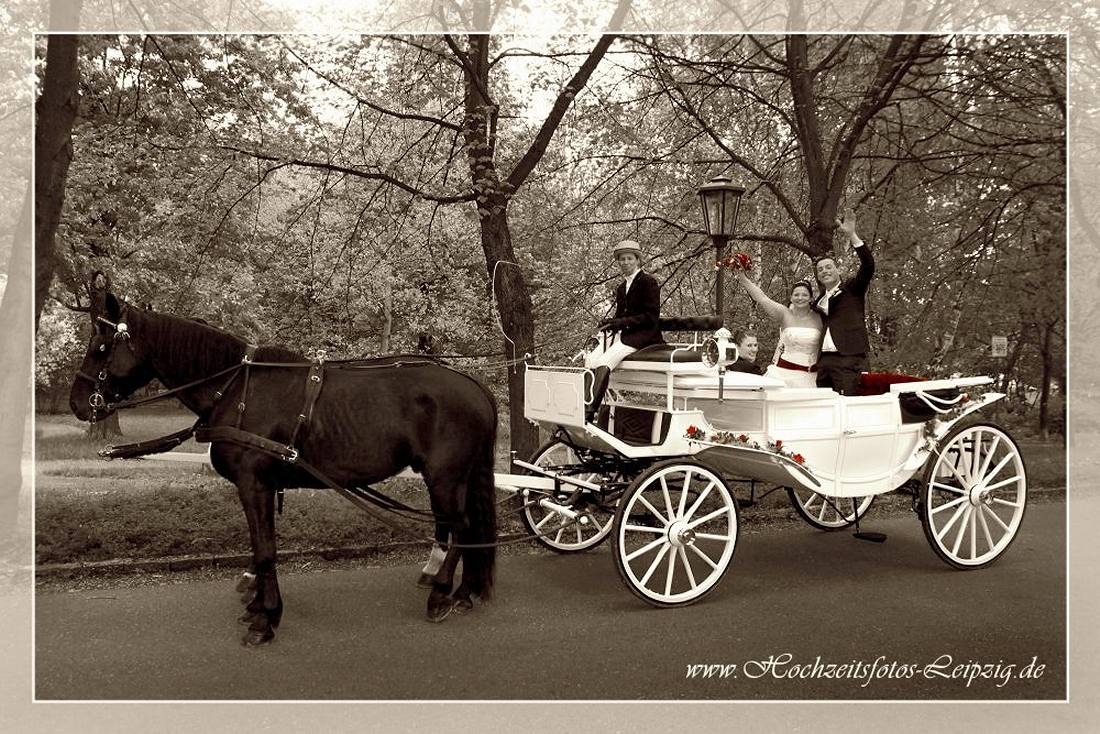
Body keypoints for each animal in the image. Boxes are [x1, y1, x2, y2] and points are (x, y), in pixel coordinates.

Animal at [68, 294, 499, 647]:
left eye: (101, 347)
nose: (77, 402)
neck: (236, 389)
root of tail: (474, 385)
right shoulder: (261, 486)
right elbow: (262, 546)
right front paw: (259, 607)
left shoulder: (254, 484)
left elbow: (264, 550)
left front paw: (266, 619)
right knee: (467, 530)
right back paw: (463, 592)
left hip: (444, 478)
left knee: (460, 528)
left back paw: (441, 594)